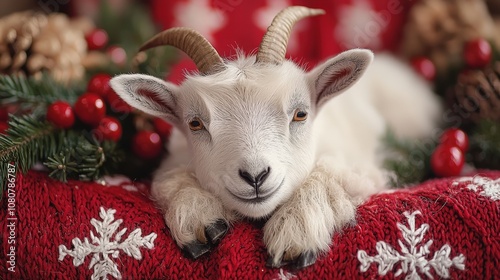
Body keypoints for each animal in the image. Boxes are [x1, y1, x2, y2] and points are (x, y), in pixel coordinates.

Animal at [110, 6, 442, 270]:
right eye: (195, 123)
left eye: (300, 114)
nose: (255, 176)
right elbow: (170, 177)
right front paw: (196, 213)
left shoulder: (361, 165)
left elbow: (329, 174)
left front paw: (297, 228)